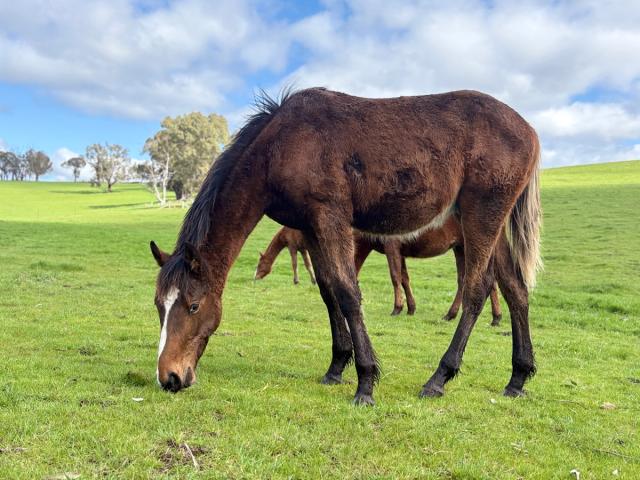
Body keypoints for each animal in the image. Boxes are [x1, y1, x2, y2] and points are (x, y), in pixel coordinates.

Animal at [255, 224, 502, 324]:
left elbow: (395, 277)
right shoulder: (400, 253)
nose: (255, 276)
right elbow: (404, 278)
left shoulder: (392, 248)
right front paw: (411, 307)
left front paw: (398, 308)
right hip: (460, 249)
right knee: (468, 281)